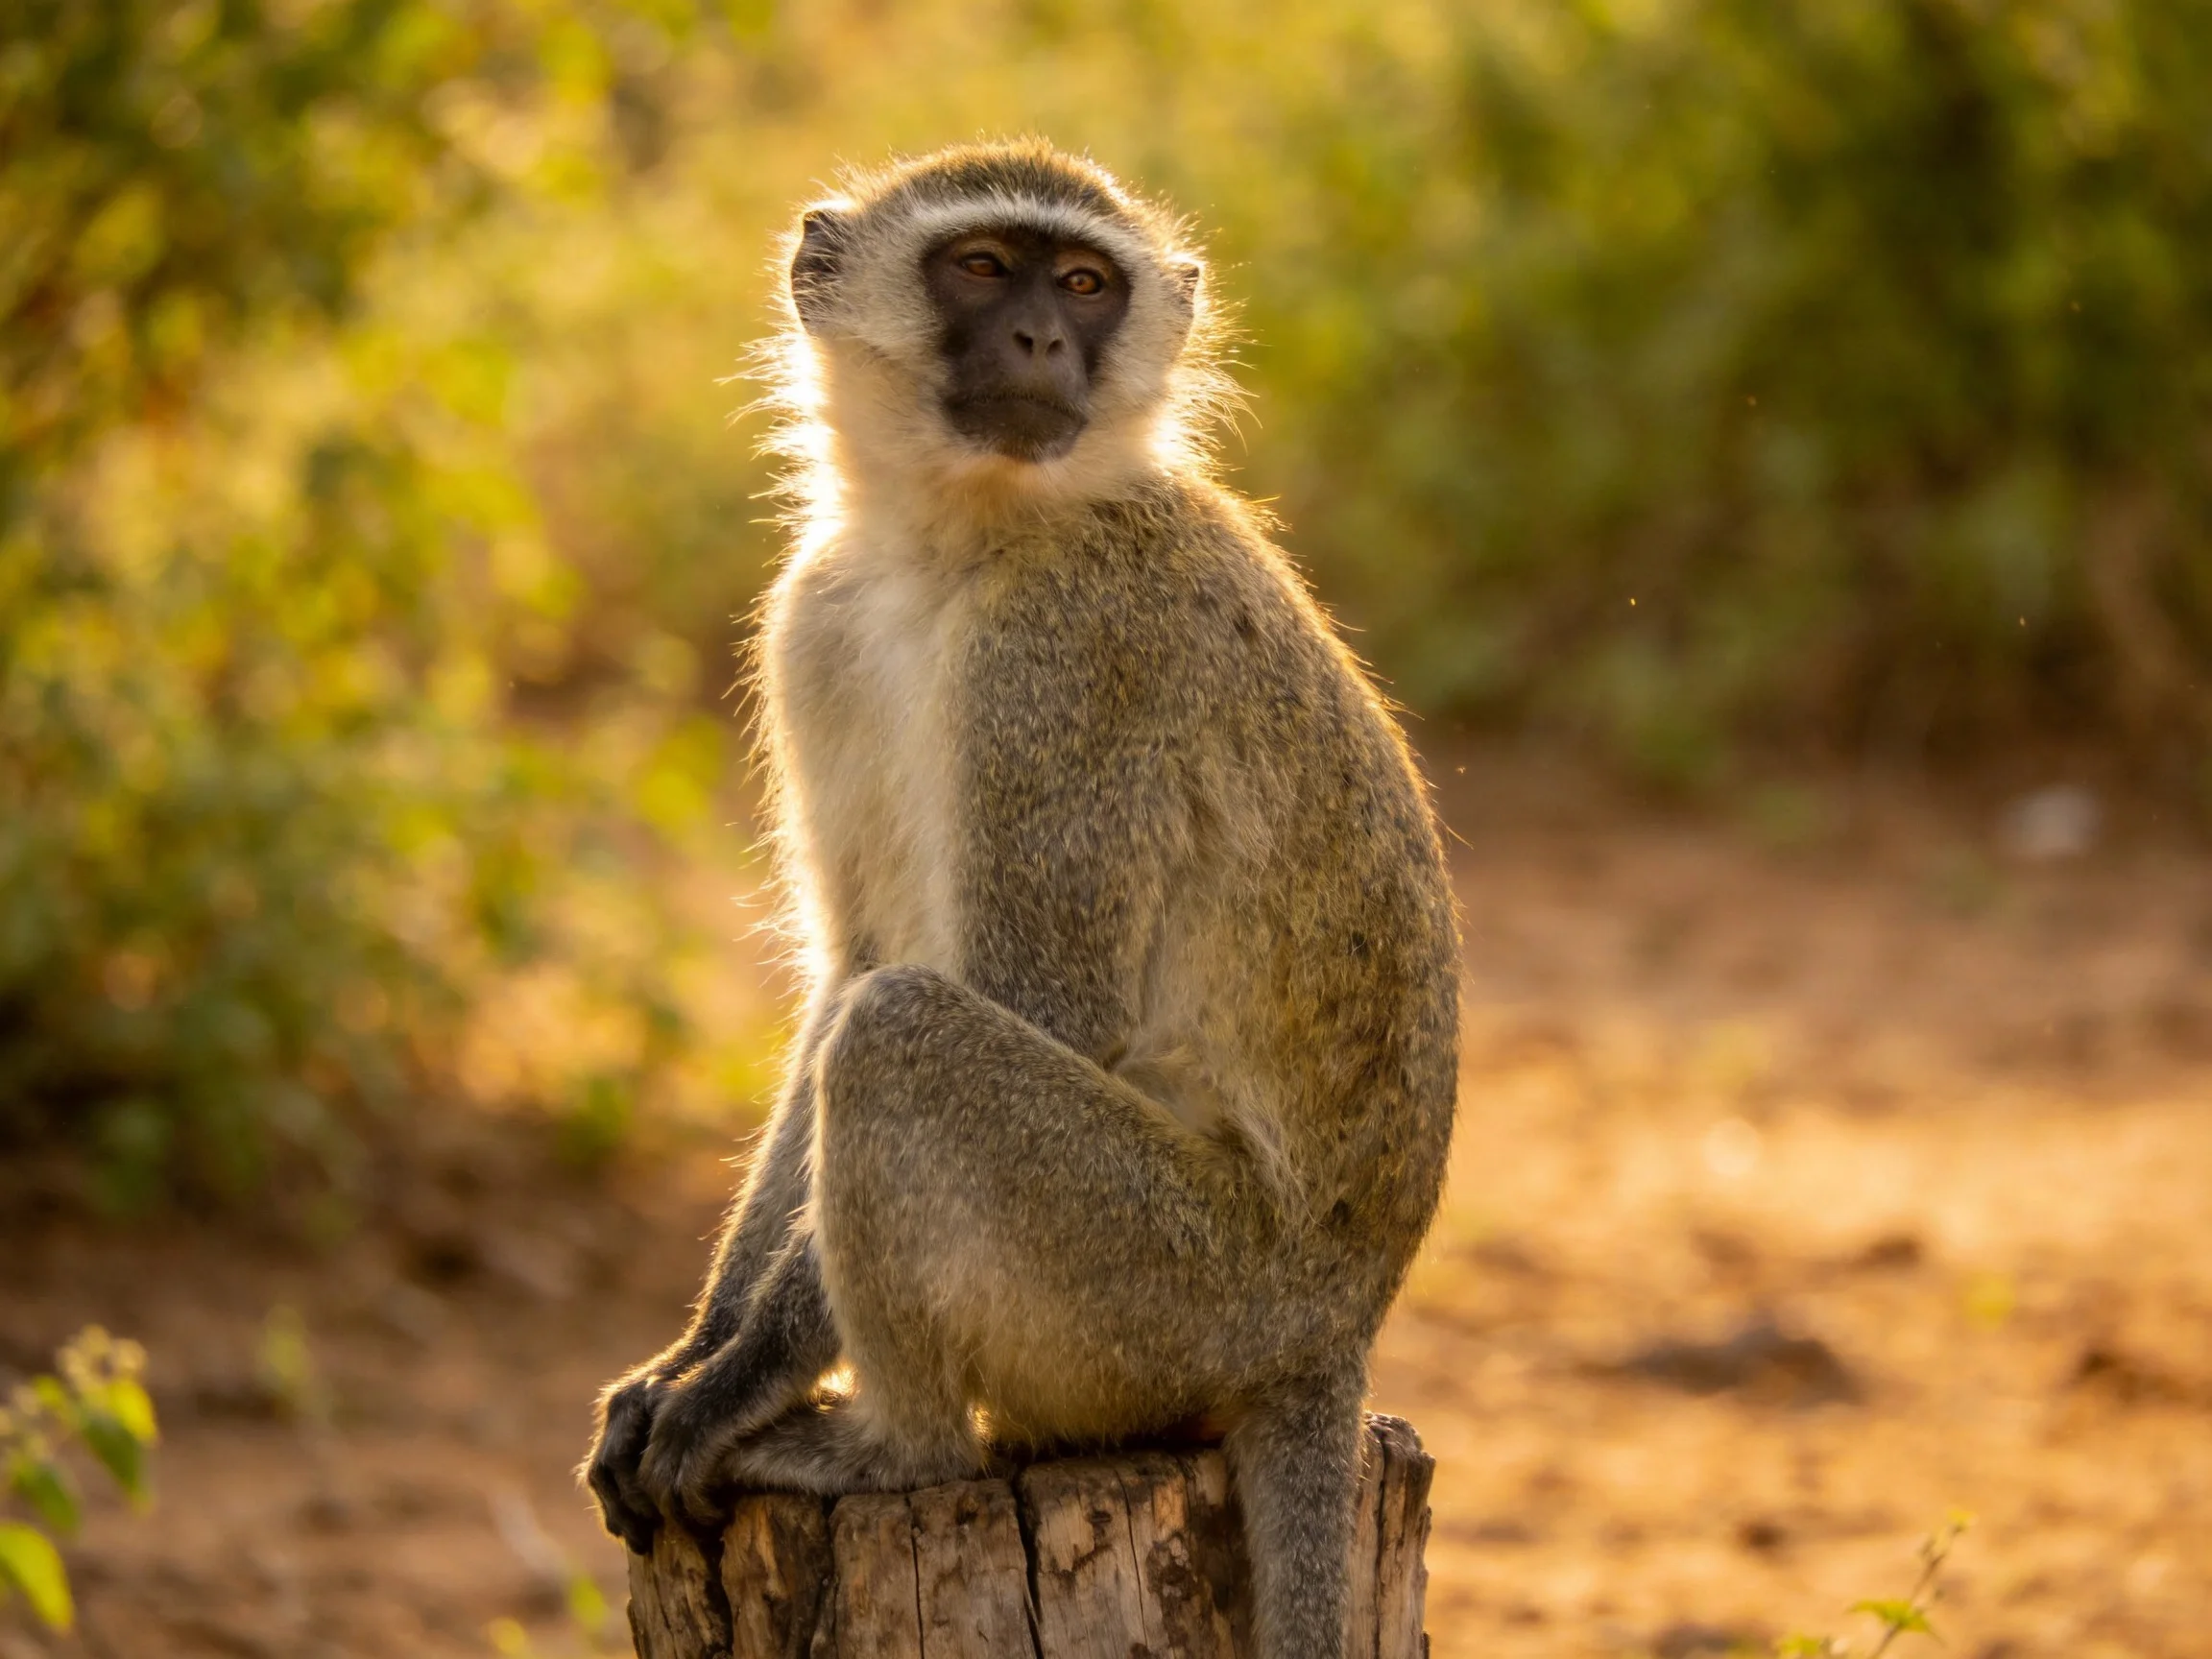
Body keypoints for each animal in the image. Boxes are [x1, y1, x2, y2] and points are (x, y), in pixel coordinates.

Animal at [583, 141, 1459, 1659]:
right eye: (984, 268)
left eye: (1089, 283)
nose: (1045, 341)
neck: (962, 537)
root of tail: (1327, 1337)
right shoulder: (815, 616)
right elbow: (850, 966)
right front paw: (690, 1352)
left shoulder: (1065, 652)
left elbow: (1014, 995)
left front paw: (734, 1379)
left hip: (1168, 1287)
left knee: (902, 1039)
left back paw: (892, 1446)